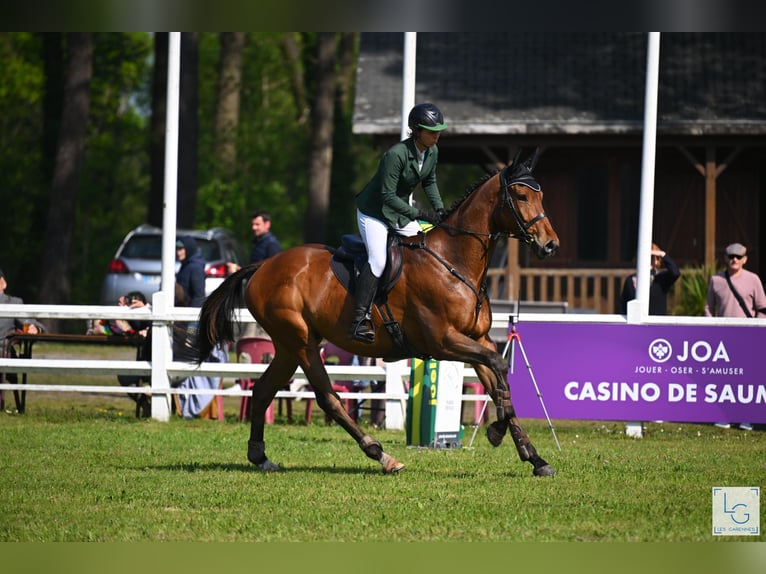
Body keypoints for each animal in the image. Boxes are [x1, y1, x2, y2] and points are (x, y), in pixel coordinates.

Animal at [196, 148, 560, 476]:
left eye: (541, 196)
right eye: (521, 195)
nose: (550, 245)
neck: (454, 262)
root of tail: (262, 267)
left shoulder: (477, 339)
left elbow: (499, 378)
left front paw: (534, 457)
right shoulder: (443, 341)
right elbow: (499, 367)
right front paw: (497, 431)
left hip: (288, 346)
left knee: (262, 391)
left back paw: (260, 457)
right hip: (301, 343)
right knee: (328, 398)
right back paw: (382, 455)